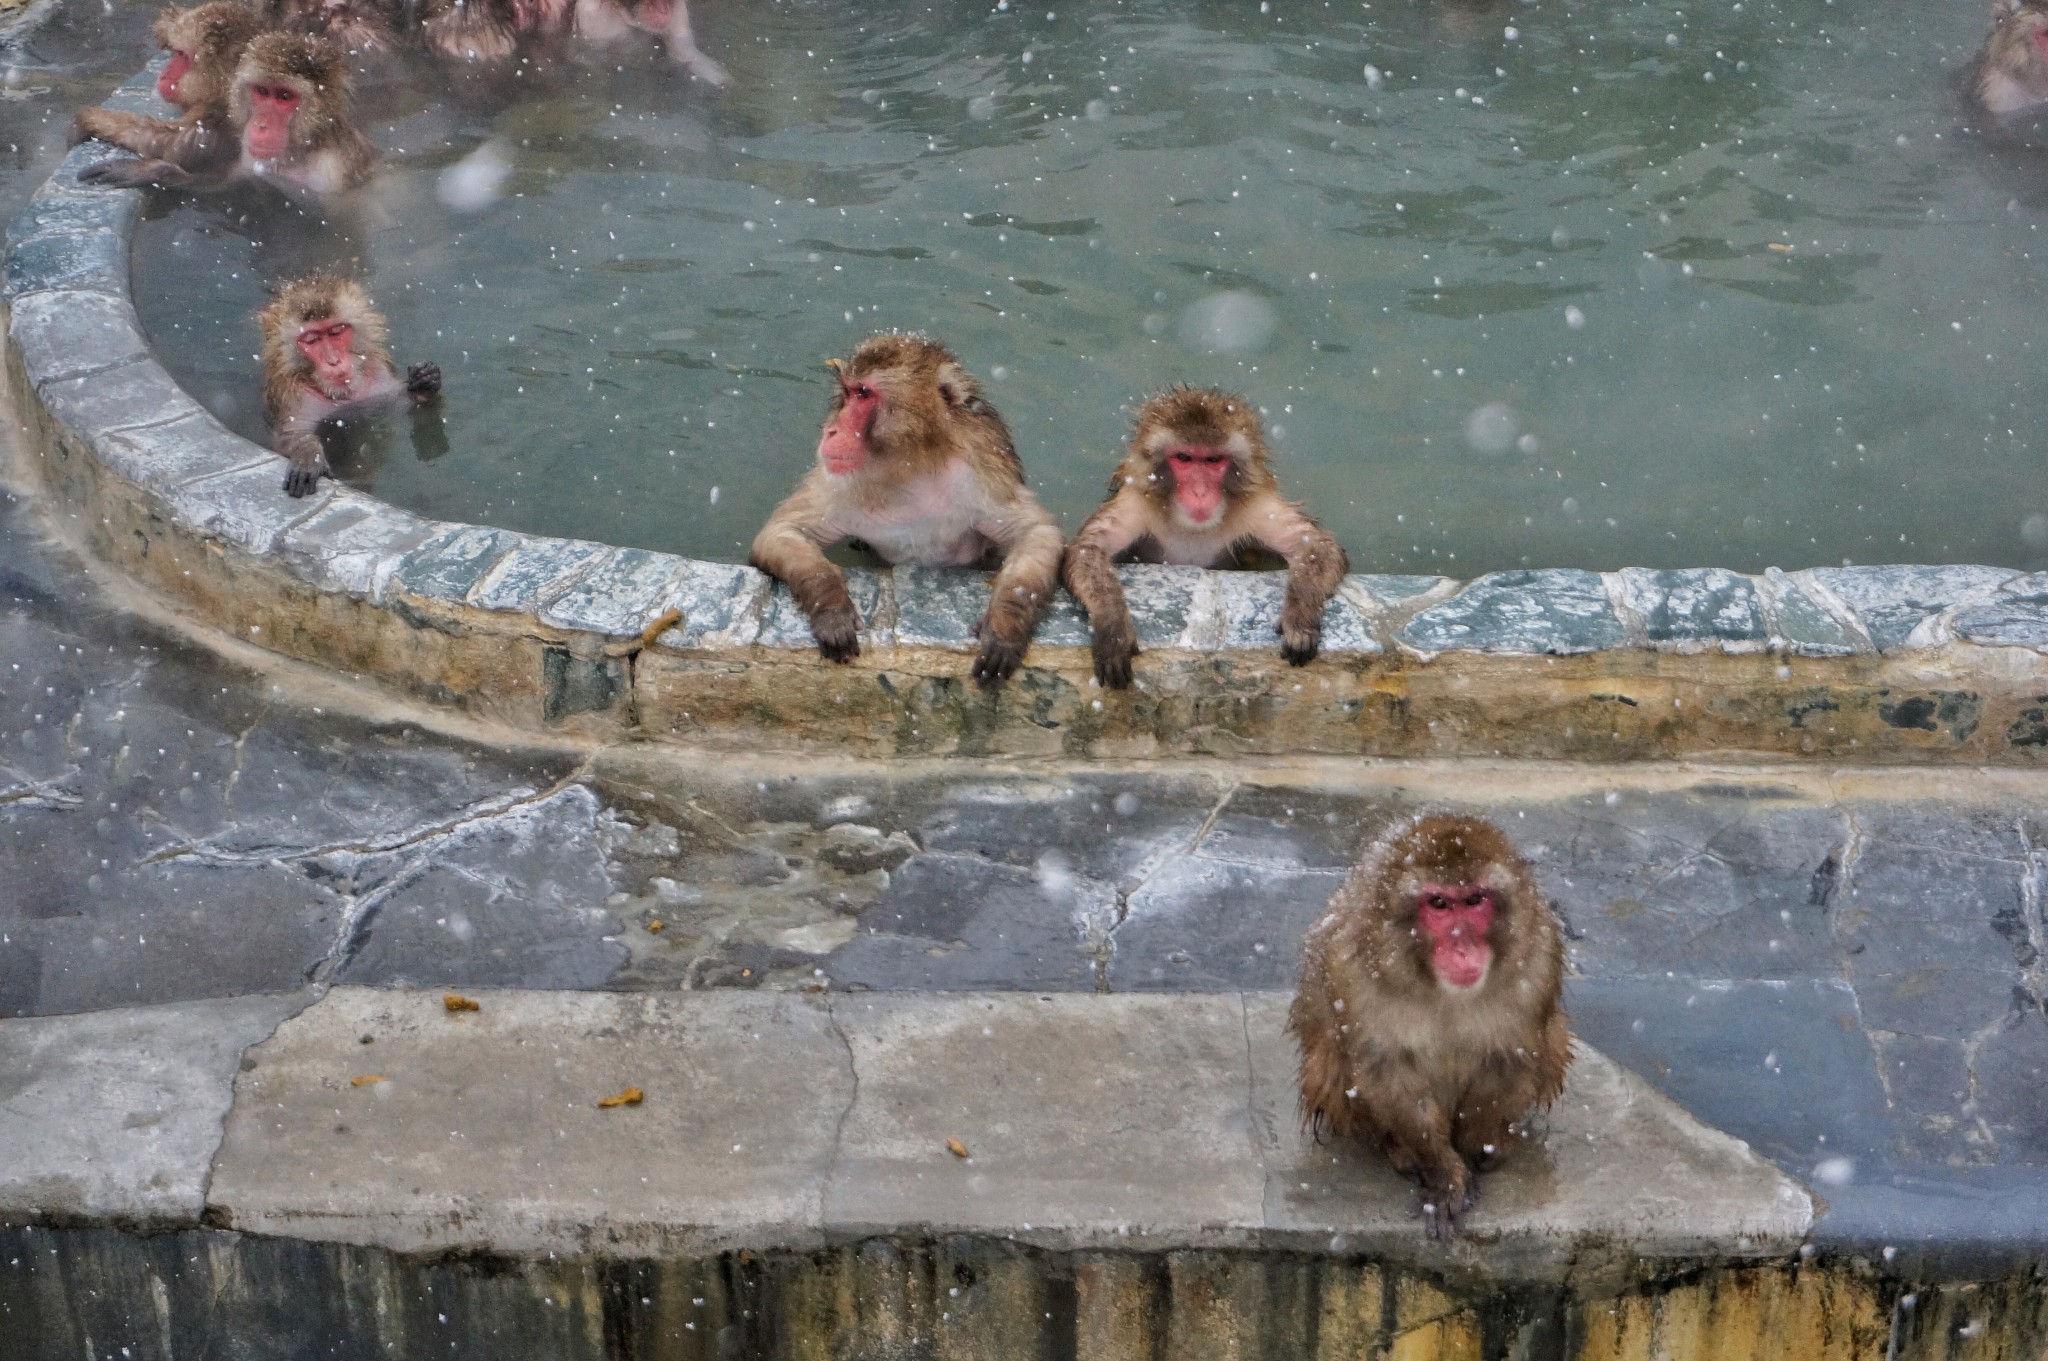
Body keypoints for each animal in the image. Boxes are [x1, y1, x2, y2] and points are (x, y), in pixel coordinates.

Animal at [71, 1, 266, 180]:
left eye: (182, 55)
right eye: (176, 53)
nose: (164, 74)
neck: (224, 89)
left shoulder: (219, 113)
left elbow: (177, 145)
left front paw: (93, 119)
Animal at [260, 270, 440, 493]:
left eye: (336, 331)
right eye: (311, 339)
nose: (333, 361)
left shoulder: (379, 376)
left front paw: (425, 383)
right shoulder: (296, 395)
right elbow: (291, 435)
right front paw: (308, 454)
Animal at [757, 329, 1073, 691]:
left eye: (864, 394)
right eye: (848, 393)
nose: (832, 430)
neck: (912, 468)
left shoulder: (983, 472)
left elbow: (1035, 532)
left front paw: (1005, 624)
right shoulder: (839, 485)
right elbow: (781, 532)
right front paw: (831, 607)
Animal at [1064, 386, 1351, 691]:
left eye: (1213, 460)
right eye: (1184, 458)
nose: (1200, 492)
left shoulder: (1257, 507)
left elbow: (1315, 544)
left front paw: (1300, 619)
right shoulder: (1137, 500)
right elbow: (1088, 547)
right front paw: (1112, 626)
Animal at [1294, 810, 1564, 1236]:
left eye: (1475, 900)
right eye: (1438, 904)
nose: (1462, 947)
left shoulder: (1538, 959)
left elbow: (1507, 1059)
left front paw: (1473, 1151)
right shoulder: (1351, 969)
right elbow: (1389, 1073)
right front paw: (1443, 1173)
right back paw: (1399, 1149)